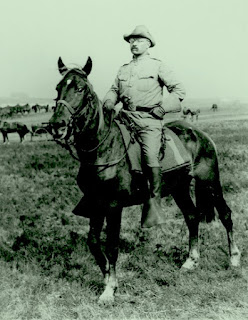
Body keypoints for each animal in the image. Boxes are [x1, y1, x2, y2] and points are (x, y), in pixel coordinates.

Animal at [49, 56, 240, 304]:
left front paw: (109, 290)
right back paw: (191, 261)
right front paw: (107, 278)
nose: (56, 126)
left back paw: (234, 258)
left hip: (210, 182)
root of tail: (200, 134)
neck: (105, 147)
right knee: (192, 216)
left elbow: (112, 245)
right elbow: (93, 242)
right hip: (179, 188)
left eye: (81, 89)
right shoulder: (96, 203)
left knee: (225, 214)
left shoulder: (113, 205)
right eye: (58, 88)